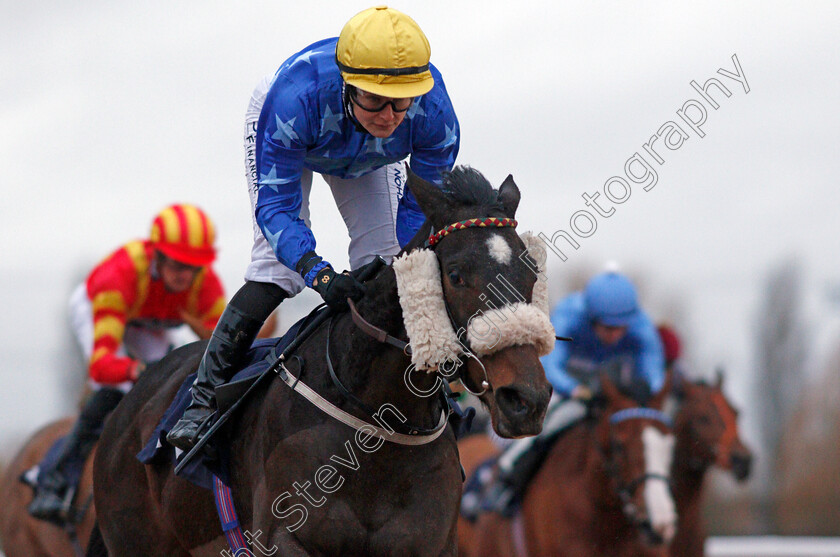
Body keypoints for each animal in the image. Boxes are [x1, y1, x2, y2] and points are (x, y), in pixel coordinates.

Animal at [92, 166, 556, 556]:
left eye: (532, 272)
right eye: (456, 274)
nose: (526, 400)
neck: (376, 430)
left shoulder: (432, 542)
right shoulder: (283, 537)